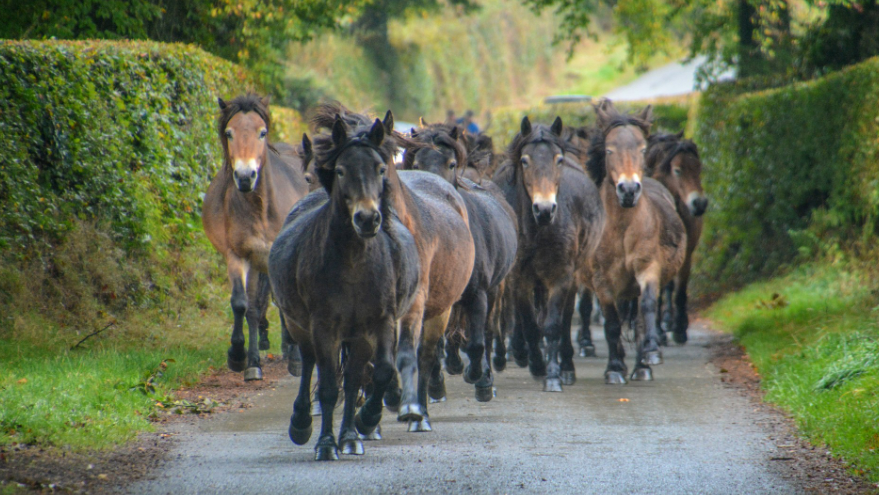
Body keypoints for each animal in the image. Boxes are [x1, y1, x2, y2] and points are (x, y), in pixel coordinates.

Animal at [203, 95, 310, 382]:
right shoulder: (238, 255)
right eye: (229, 133)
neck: (261, 207)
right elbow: (242, 304)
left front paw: (296, 359)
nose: (244, 176)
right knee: (254, 306)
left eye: (262, 132)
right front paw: (241, 357)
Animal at [588, 100, 692, 384]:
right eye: (609, 149)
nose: (628, 190)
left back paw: (642, 365)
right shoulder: (602, 281)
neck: (622, 230)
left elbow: (647, 310)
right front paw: (614, 369)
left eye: (642, 148)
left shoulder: (648, 268)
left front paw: (649, 356)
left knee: (640, 320)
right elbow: (612, 322)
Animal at [648, 132, 708, 344]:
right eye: (677, 170)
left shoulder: (687, 254)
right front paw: (657, 332)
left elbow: (680, 291)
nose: (699, 204)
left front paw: (680, 330)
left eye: (699, 168)